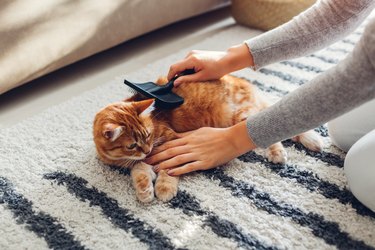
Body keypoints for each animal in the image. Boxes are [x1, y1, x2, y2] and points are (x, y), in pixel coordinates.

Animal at [93, 74, 324, 203]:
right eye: (132, 145)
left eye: (148, 135)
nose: (148, 149)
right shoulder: (139, 161)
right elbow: (139, 170)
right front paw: (144, 190)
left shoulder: (171, 142)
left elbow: (168, 170)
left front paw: (164, 188)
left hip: (242, 116)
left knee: (266, 132)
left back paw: (278, 152)